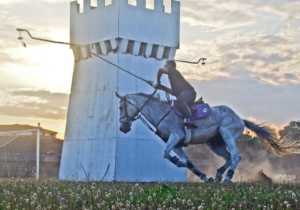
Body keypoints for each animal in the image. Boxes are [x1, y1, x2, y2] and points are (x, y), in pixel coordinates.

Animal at [115, 92, 300, 182]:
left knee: (236, 156)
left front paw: (179, 163)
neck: (162, 113)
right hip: (214, 143)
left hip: (227, 134)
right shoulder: (178, 144)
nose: (123, 128)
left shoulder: (175, 136)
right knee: (228, 157)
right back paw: (218, 174)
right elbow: (188, 162)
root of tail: (240, 118)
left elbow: (166, 154)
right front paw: (204, 176)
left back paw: (227, 177)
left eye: (121, 107)